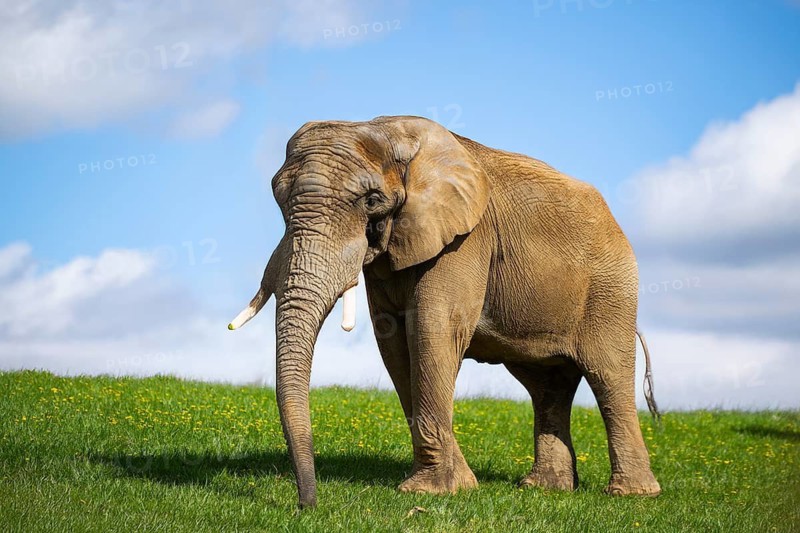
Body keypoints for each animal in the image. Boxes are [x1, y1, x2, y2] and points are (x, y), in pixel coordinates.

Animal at [228, 115, 661, 508]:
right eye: (279, 199)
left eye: (371, 201)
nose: (307, 505)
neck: (383, 128)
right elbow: (394, 342)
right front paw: (459, 485)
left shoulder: (465, 240)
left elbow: (431, 330)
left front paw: (429, 492)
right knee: (547, 386)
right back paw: (544, 489)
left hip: (611, 291)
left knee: (608, 375)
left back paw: (631, 495)